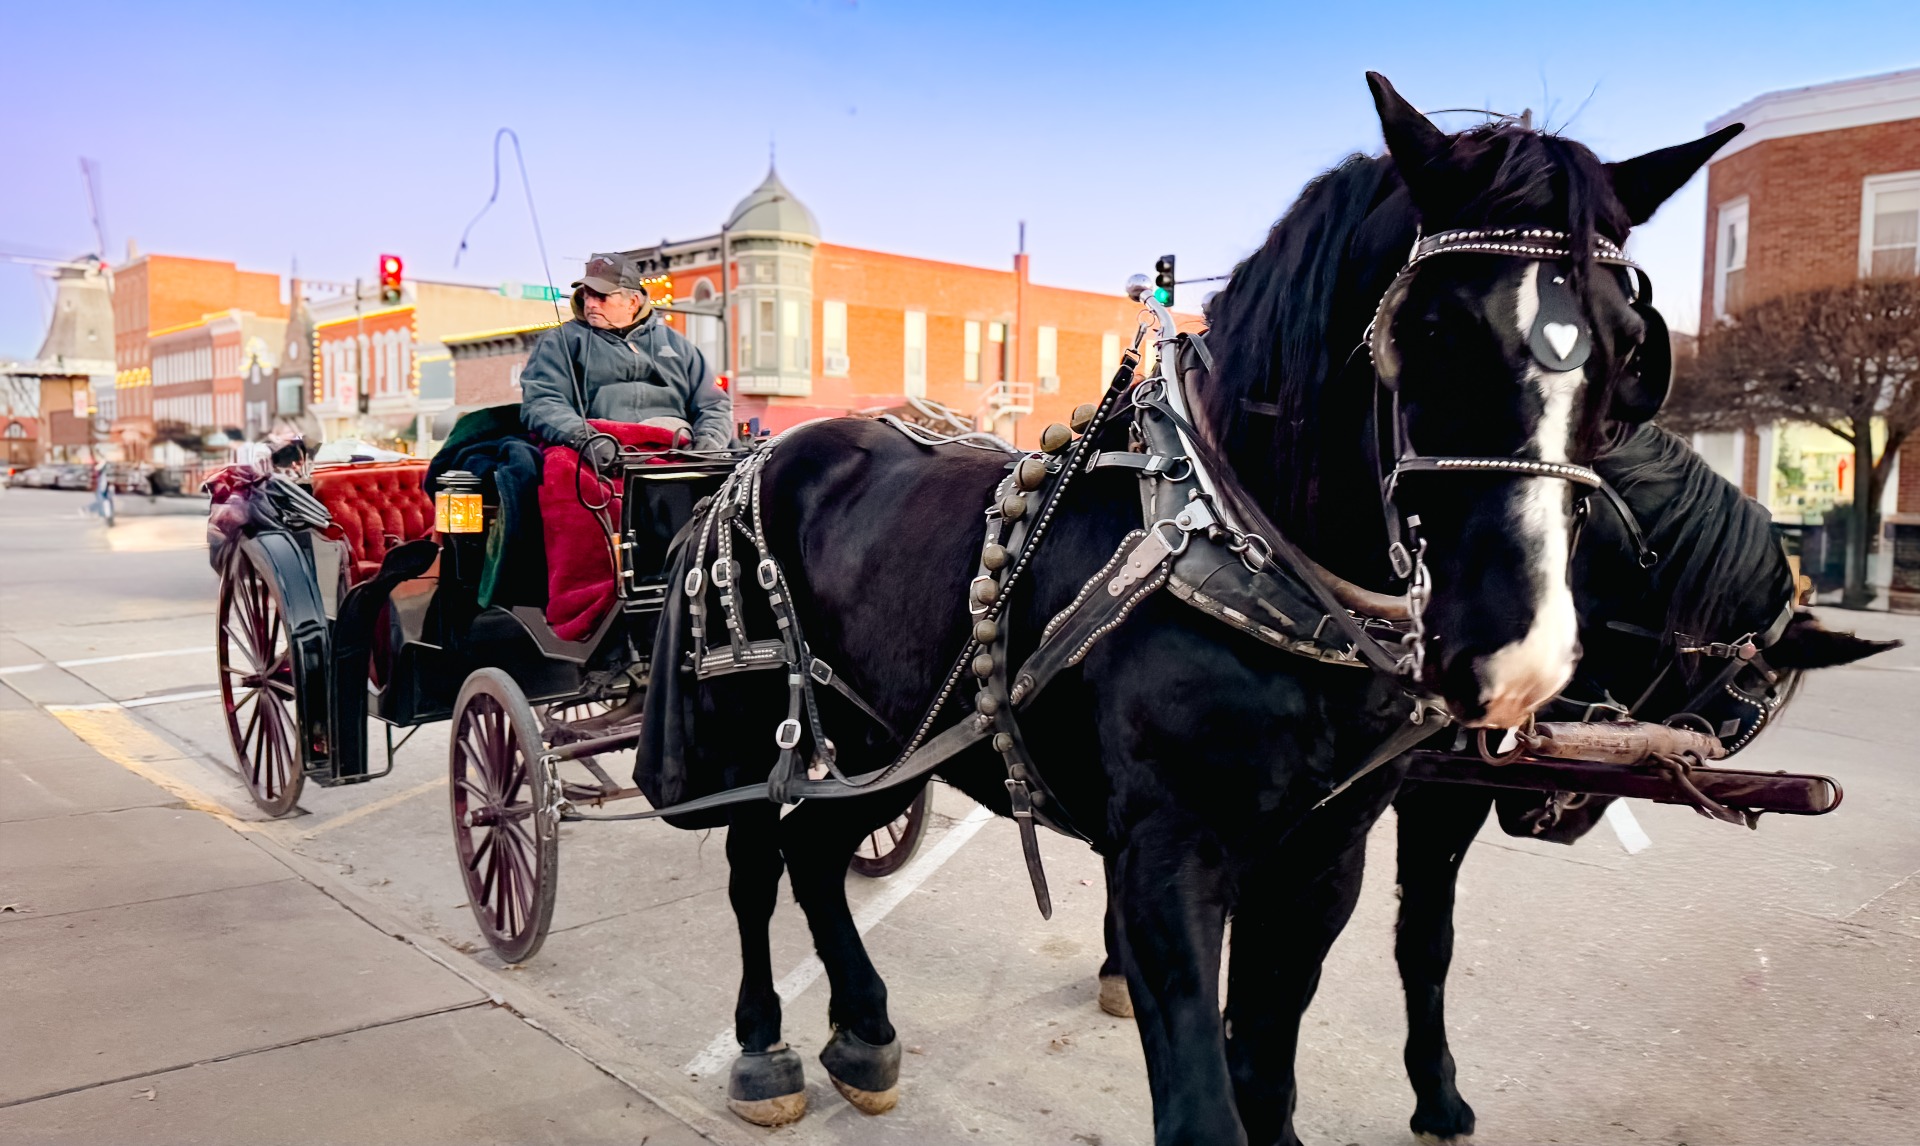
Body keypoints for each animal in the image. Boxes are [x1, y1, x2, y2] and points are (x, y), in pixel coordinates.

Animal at [637, 75, 1751, 1136]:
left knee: (817, 856)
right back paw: (763, 1047)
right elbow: (1205, 1105)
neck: (1250, 563)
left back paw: (863, 1029)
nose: (1516, 655)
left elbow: (1267, 1077)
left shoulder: (1321, 861)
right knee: (756, 861)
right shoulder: (1167, 860)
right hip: (767, 734)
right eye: (1428, 327)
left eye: (1630, 351)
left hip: (883, 740)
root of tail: (768, 452)